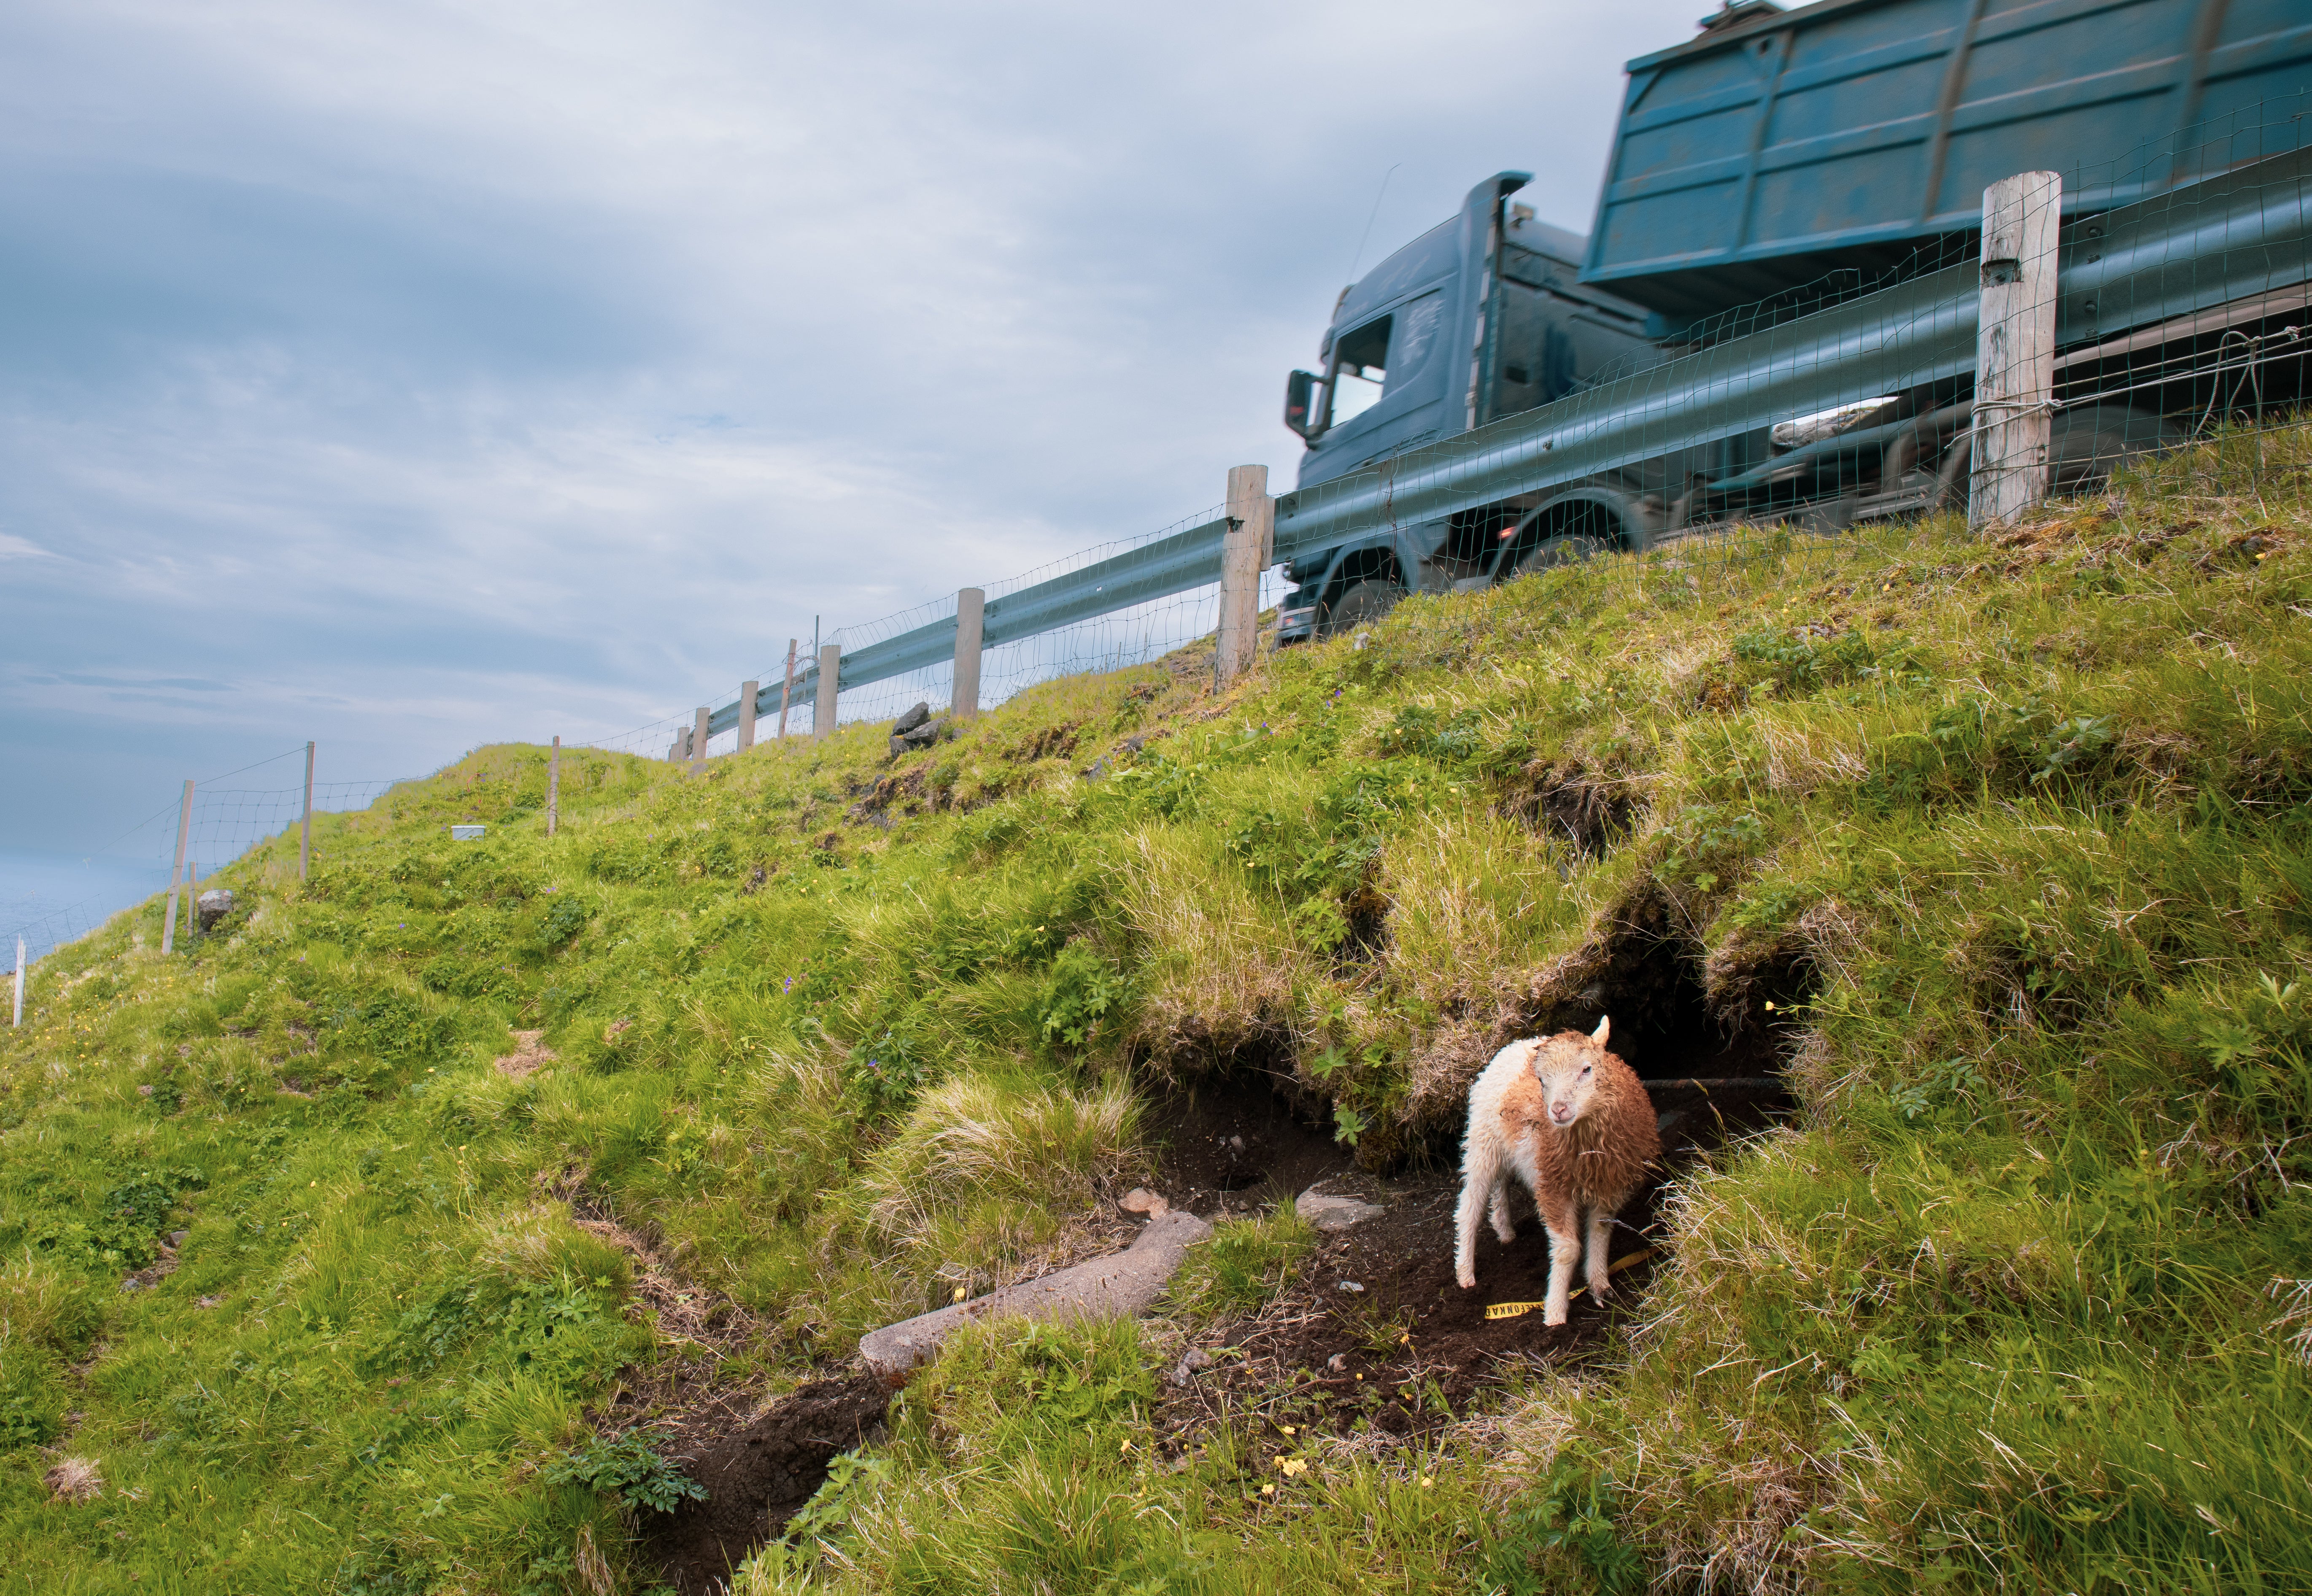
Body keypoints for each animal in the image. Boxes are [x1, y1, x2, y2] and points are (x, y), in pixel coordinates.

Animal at [1453, 1016, 1660, 1324]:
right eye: (1541, 1080)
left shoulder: (1609, 1185)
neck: (1589, 1149)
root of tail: (1515, 1045)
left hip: (1504, 1148)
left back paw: (1505, 1229)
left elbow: (1601, 1233)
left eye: (1587, 1069)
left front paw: (1600, 1285)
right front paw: (1555, 1315)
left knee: (1501, 1184)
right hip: (1483, 1143)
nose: (1558, 1110)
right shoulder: (1554, 1188)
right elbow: (1567, 1250)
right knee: (1469, 1208)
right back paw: (1465, 1274)